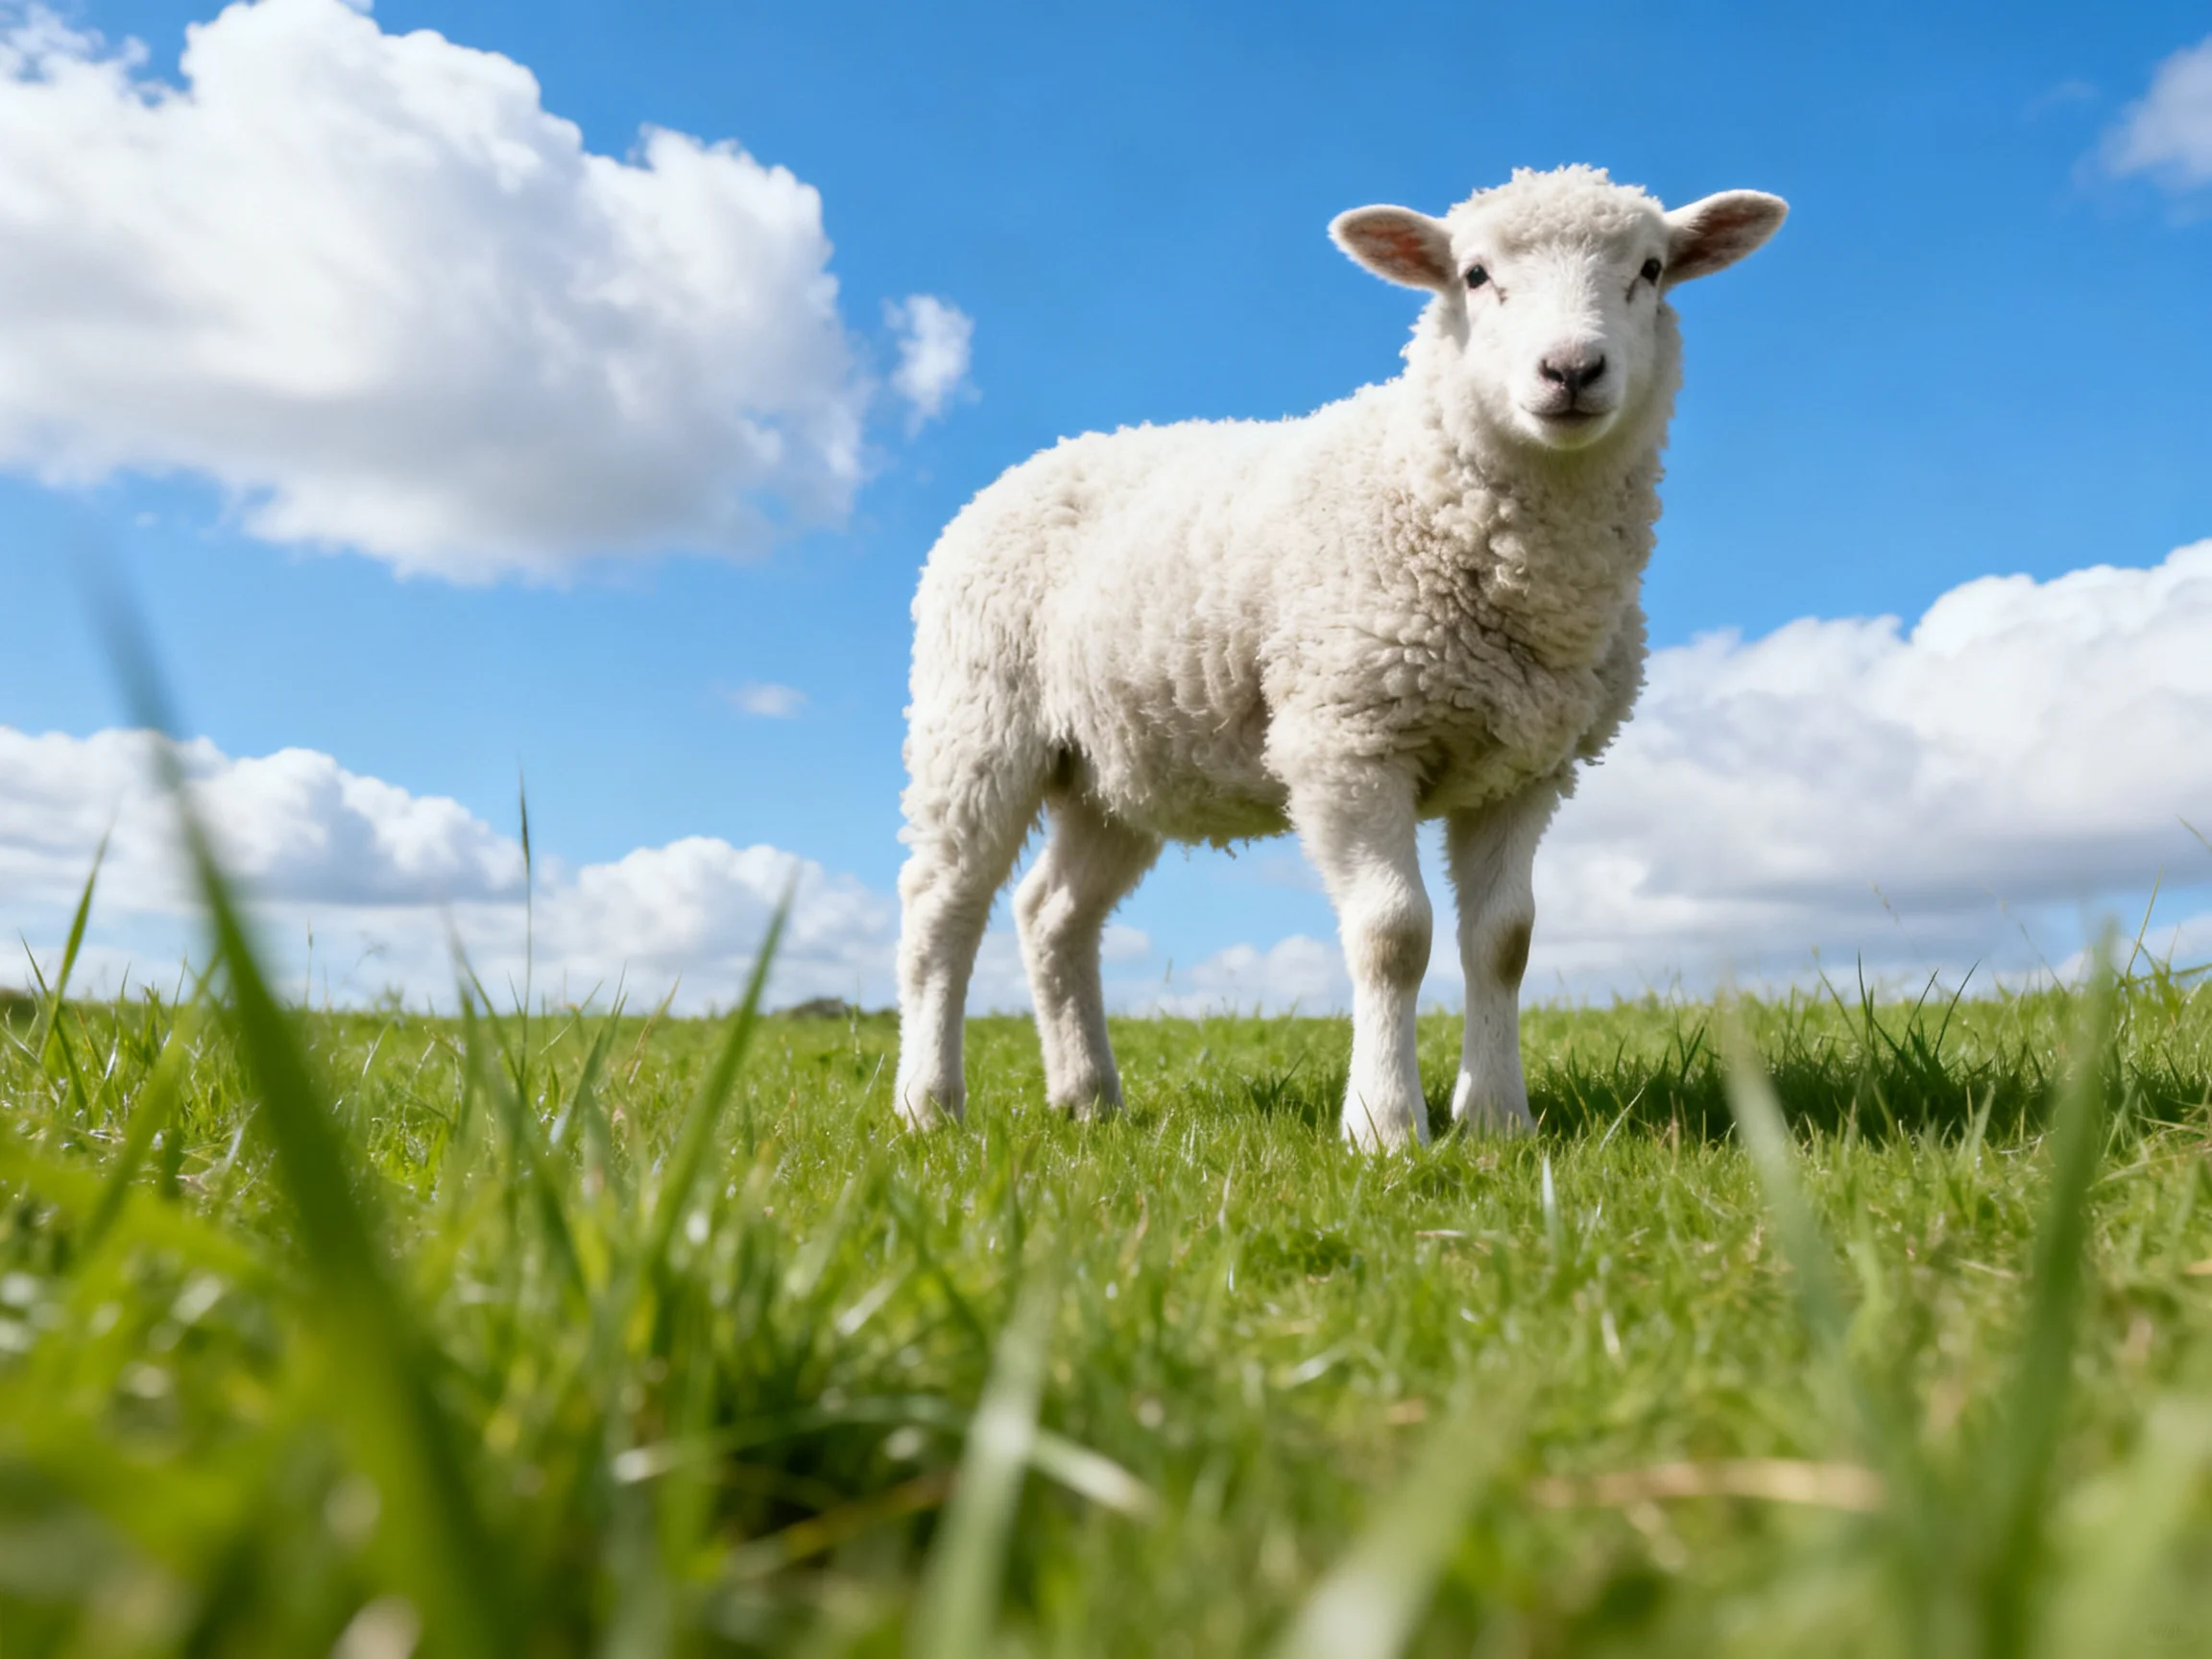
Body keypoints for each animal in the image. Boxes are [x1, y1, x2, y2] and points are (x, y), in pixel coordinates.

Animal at [895, 165, 1787, 1150]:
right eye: (1474, 275)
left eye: (1652, 270)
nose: (1571, 371)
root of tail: (1038, 461)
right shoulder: (1346, 735)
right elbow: (1394, 935)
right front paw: (1386, 1125)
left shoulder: (1528, 767)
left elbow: (1504, 941)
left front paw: (1497, 1121)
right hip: (977, 723)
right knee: (941, 907)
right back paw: (929, 1104)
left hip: (1113, 768)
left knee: (1051, 914)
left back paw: (1088, 1097)